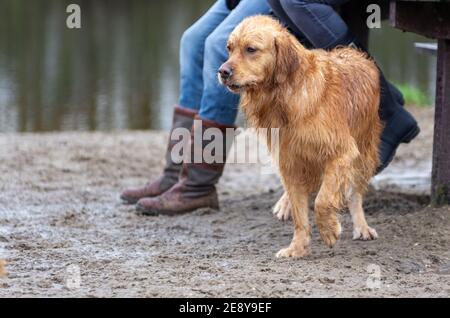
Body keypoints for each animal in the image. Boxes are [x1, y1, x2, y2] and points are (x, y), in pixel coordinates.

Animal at [220, 15, 382, 258]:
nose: (222, 71)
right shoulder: (290, 161)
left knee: (355, 194)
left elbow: (323, 200)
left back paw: (361, 227)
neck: (285, 96)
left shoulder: (342, 153)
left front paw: (329, 230)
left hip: (365, 152)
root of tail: (355, 52)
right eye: (229, 49)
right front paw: (296, 247)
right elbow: (300, 213)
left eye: (251, 49)